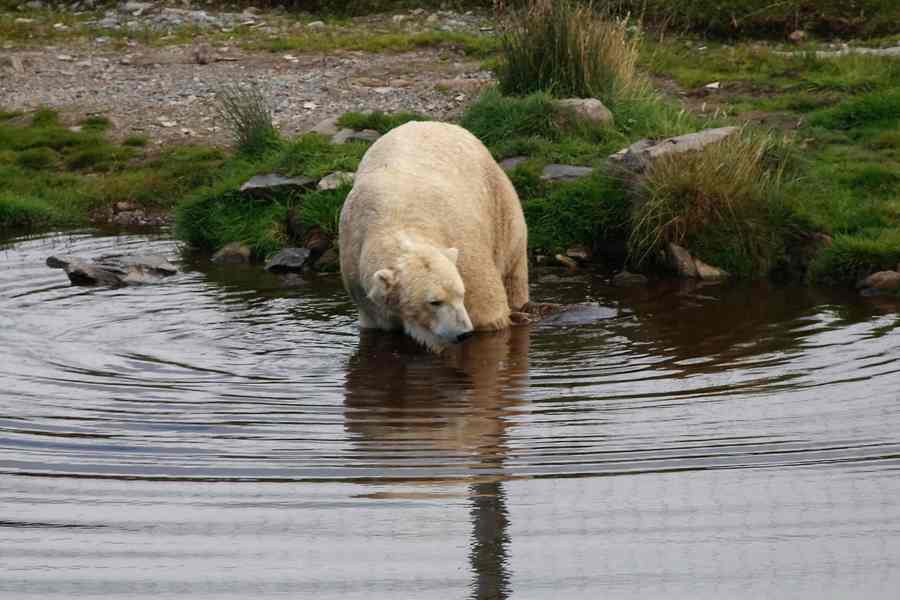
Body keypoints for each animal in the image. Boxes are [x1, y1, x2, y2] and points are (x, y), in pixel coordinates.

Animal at [342, 120, 532, 352]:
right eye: (434, 302)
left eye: (461, 294)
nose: (463, 333)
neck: (395, 220)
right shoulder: (362, 285)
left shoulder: (465, 252)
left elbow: (488, 313)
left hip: (499, 200)